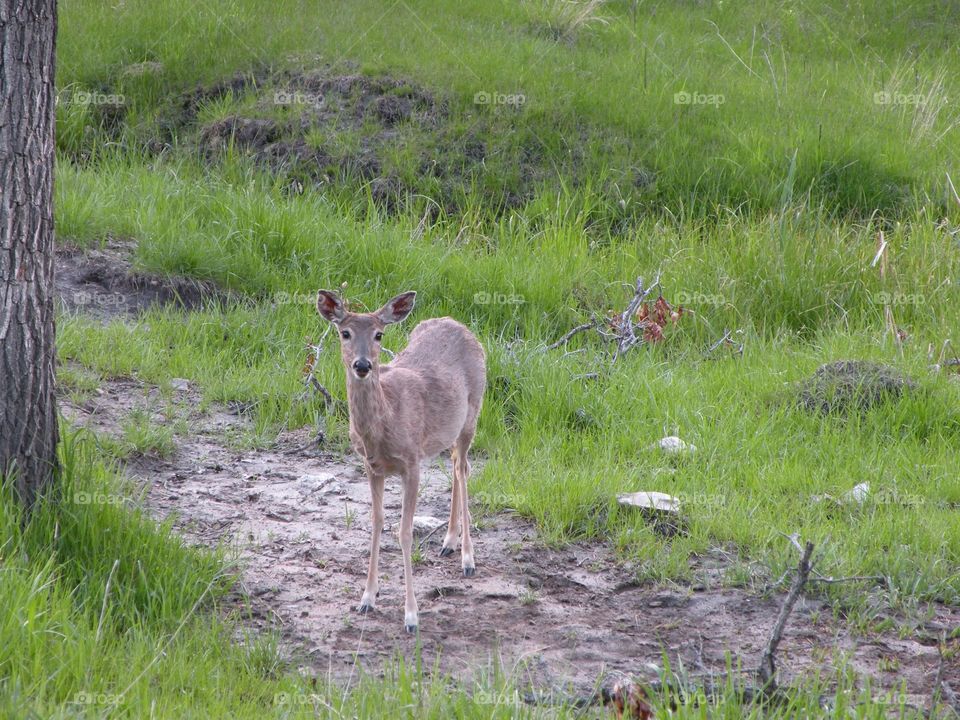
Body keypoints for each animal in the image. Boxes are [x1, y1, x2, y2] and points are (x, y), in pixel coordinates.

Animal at [318, 290, 488, 632]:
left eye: (379, 334)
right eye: (345, 333)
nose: (362, 365)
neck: (386, 420)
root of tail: (457, 323)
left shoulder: (411, 463)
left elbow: (404, 532)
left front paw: (411, 616)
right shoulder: (372, 467)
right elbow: (377, 523)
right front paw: (367, 598)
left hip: (473, 413)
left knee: (463, 468)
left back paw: (467, 558)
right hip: (448, 431)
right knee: (455, 465)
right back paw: (448, 542)